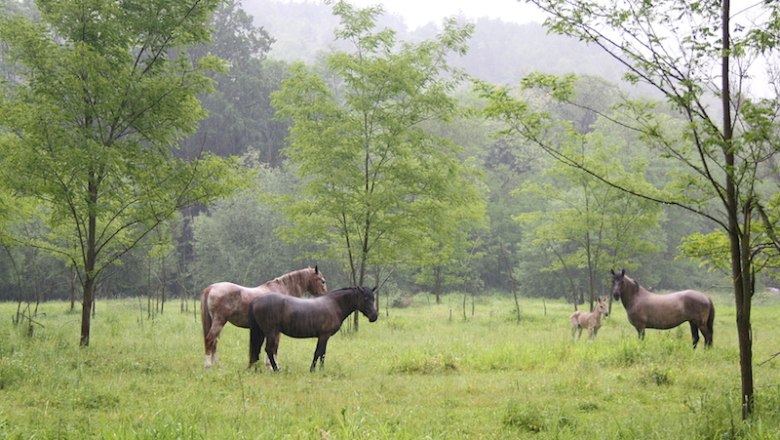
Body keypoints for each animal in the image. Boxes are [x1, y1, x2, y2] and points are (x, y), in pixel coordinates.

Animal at [245, 286, 376, 372]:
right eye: (365, 299)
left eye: (373, 299)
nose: (374, 316)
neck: (334, 304)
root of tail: (256, 301)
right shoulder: (324, 335)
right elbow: (319, 352)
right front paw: (314, 369)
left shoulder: (324, 337)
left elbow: (322, 353)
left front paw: (320, 369)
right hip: (271, 332)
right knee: (268, 350)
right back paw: (277, 370)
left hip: (263, 332)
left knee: (258, 350)